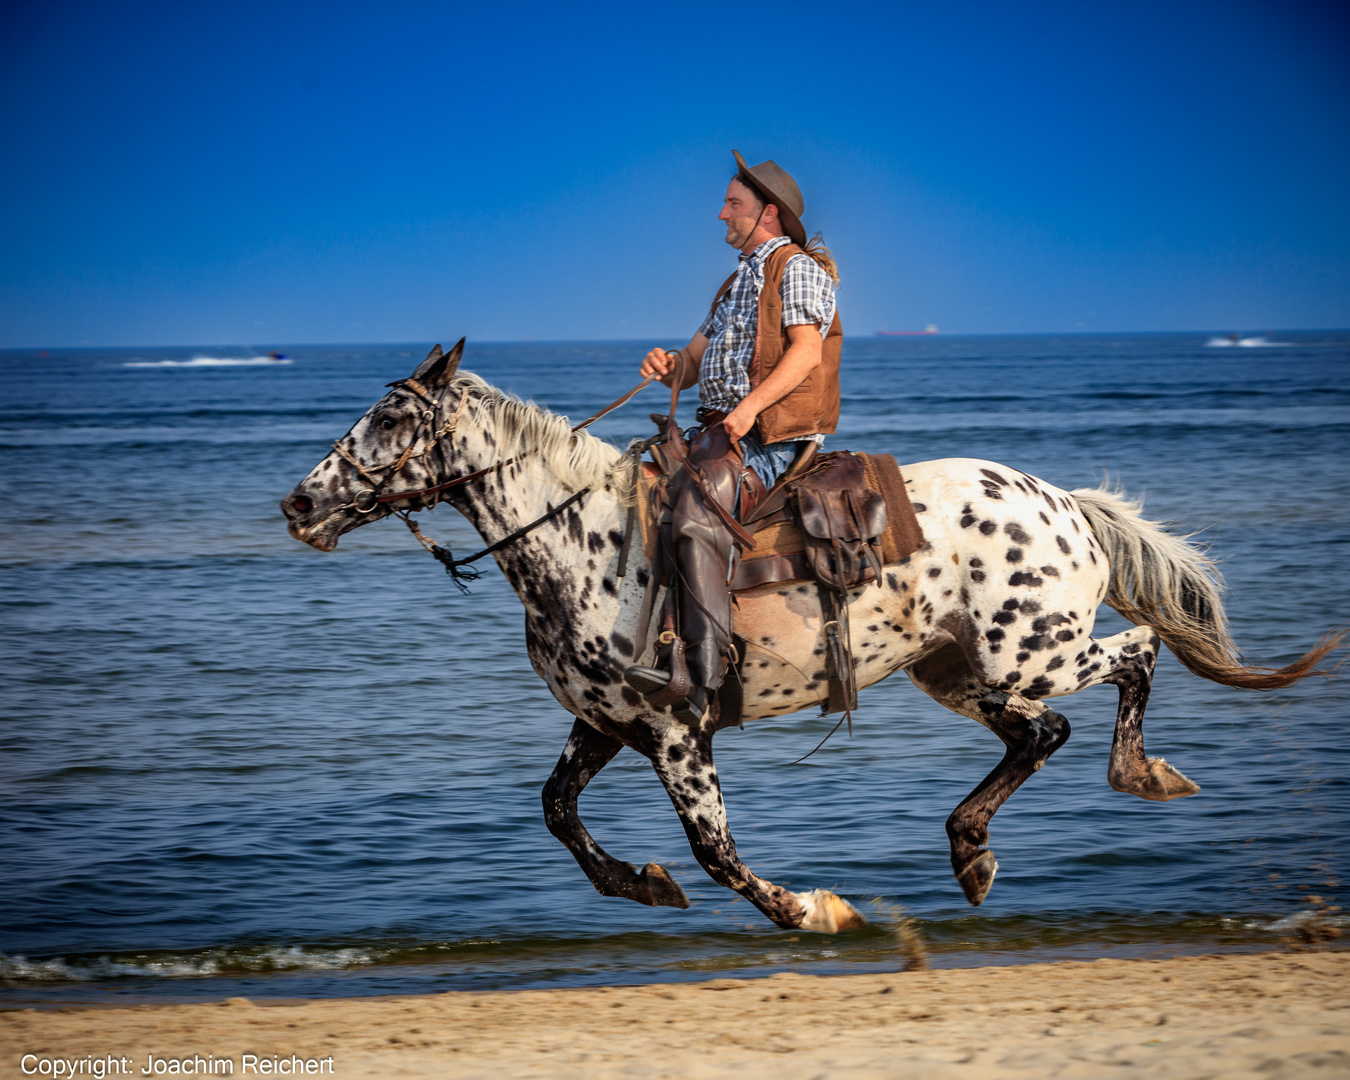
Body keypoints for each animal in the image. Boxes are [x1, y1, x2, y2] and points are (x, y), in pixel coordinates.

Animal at [282, 341, 1339, 934]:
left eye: (389, 415)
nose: (298, 504)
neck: (584, 539)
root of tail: (1066, 505)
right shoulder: (606, 725)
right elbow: (555, 812)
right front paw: (642, 885)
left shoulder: (675, 733)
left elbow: (715, 849)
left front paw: (812, 909)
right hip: (961, 673)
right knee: (1041, 734)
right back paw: (971, 852)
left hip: (1032, 652)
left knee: (1134, 659)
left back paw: (1138, 774)